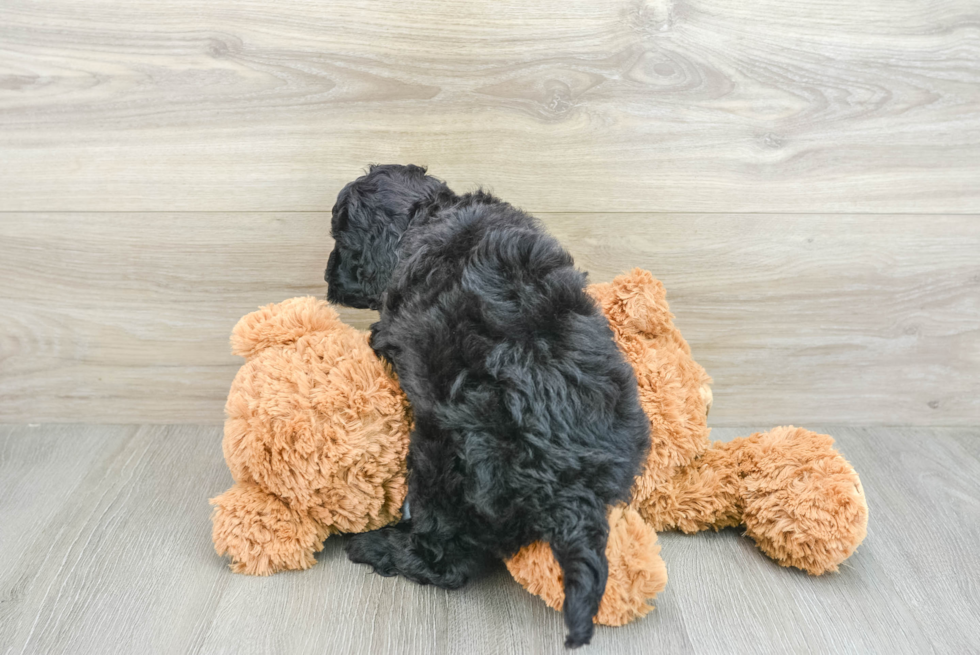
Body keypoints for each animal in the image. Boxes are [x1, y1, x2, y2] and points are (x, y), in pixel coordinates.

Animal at [328, 167, 652, 648]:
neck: (430, 216)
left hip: (442, 463)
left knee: (444, 560)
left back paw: (376, 546)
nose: (328, 280)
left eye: (340, 237)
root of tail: (572, 485)